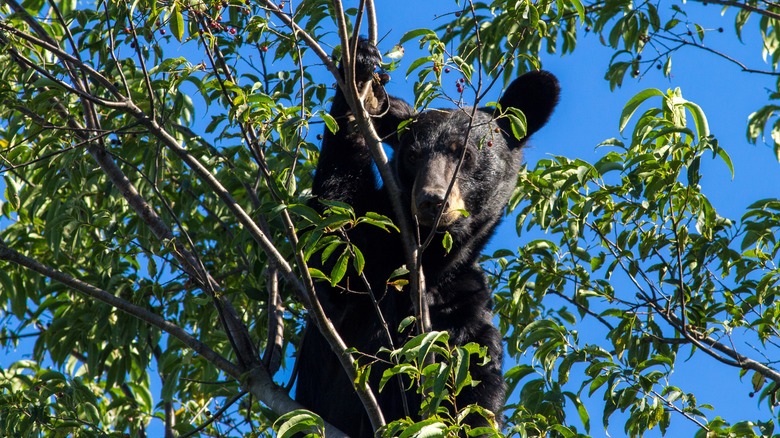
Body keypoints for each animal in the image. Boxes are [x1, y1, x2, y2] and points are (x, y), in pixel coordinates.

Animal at [294, 39, 560, 436]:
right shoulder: (373, 260)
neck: (430, 262)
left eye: (464, 152)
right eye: (412, 155)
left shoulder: (464, 303)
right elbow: (336, 245)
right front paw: (360, 74)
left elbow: (478, 381)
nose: (431, 200)